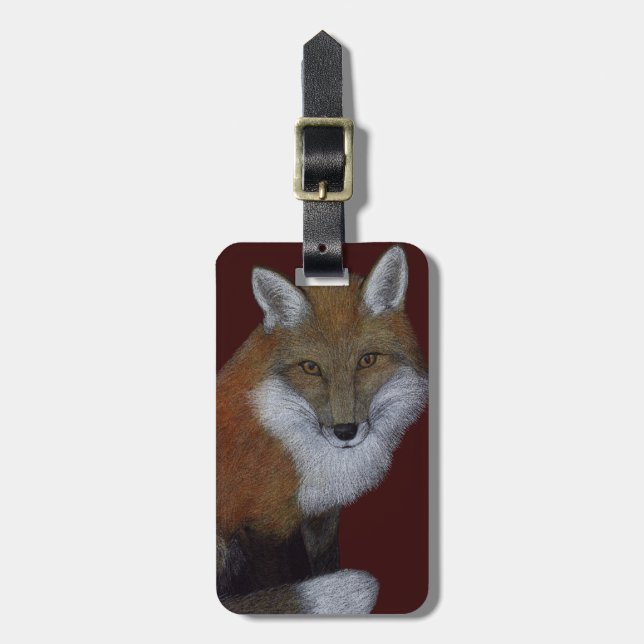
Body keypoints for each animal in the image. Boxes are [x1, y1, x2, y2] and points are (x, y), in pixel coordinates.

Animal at [216, 245, 428, 614]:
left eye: (367, 361)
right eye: (311, 368)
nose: (345, 431)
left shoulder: (321, 514)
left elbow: (323, 563)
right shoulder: (260, 524)